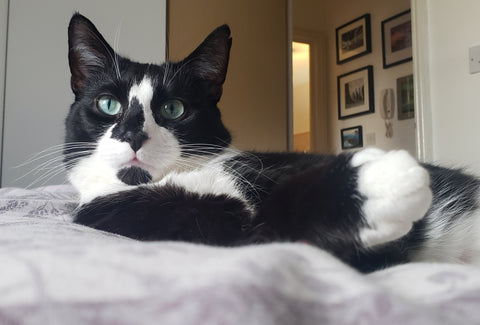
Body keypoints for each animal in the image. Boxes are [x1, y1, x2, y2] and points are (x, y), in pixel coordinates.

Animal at [64, 13, 480, 270]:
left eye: (173, 108)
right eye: (108, 104)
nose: (134, 133)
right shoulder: (130, 216)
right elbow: (267, 226)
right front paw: (375, 184)